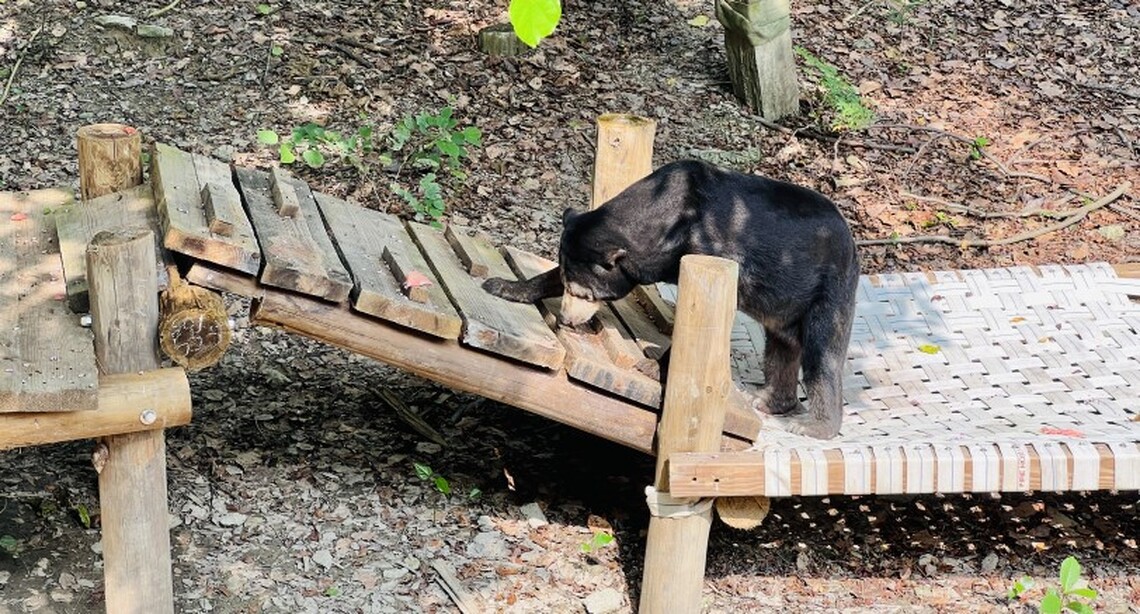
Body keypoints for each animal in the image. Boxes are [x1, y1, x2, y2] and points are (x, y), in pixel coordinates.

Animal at [482, 160, 860, 440]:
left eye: (586, 294)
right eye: (568, 285)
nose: (566, 319)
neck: (670, 222)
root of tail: (853, 245)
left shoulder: (713, 252)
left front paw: (651, 366)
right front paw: (501, 285)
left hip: (827, 292)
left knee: (821, 357)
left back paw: (813, 426)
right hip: (786, 307)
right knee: (781, 349)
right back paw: (767, 399)